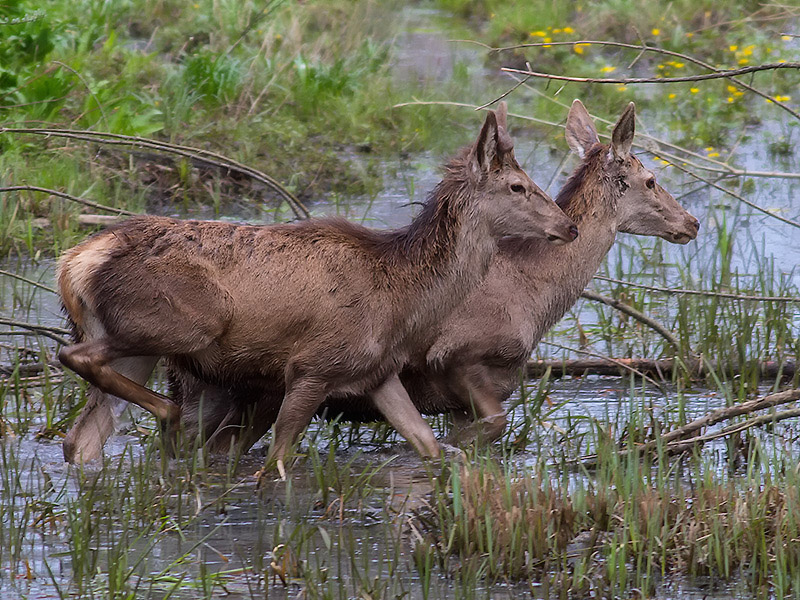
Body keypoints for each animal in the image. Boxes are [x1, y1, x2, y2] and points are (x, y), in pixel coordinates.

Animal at [59, 104, 580, 478]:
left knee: (80, 437)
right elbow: (277, 462)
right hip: (183, 323)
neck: (404, 294)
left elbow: (428, 445)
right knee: (75, 358)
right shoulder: (312, 365)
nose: (569, 226)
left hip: (139, 342)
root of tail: (77, 261)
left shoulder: (377, 370)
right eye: (517, 186)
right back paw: (167, 415)